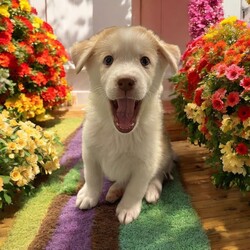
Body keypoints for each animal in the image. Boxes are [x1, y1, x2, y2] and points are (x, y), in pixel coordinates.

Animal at [70, 25, 180, 225]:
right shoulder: (89, 152)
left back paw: (151, 190)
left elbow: (136, 187)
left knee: (159, 175)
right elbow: (92, 177)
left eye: (145, 61)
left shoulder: (145, 163)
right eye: (108, 60)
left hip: (165, 155)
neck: (119, 134)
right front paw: (89, 195)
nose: (126, 81)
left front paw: (128, 208)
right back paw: (114, 190)